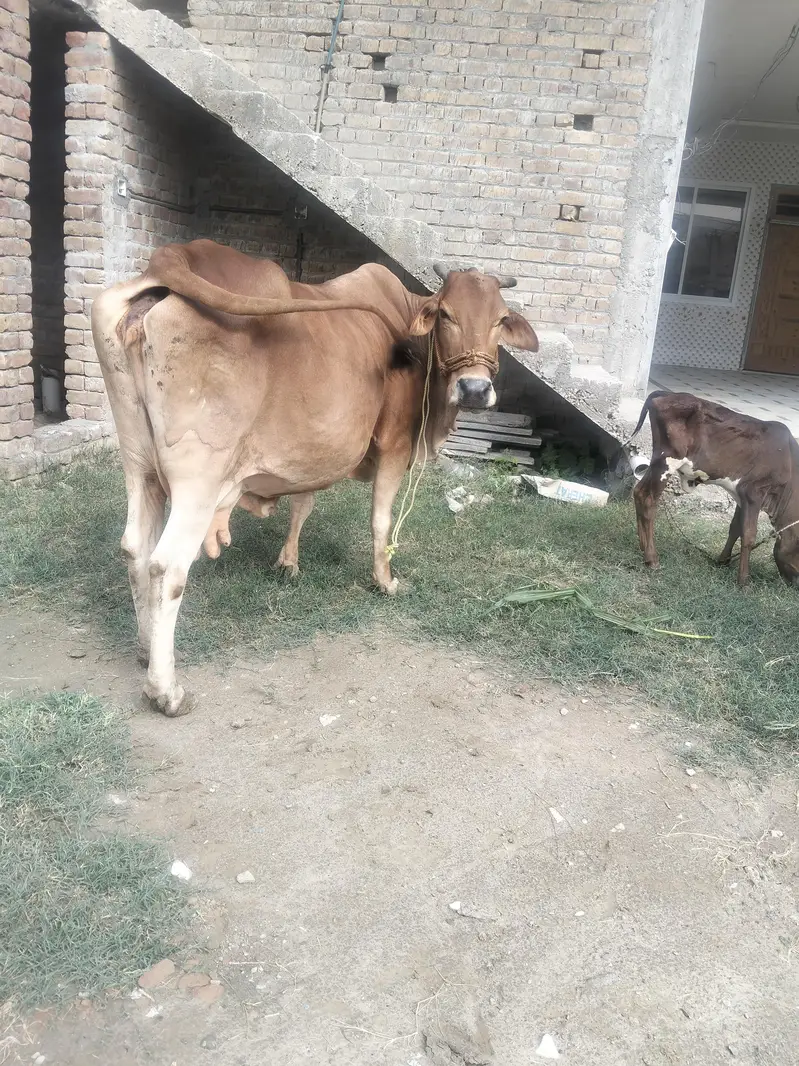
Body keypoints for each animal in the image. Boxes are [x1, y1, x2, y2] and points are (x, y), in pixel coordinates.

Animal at [91, 239, 539, 716]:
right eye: (447, 314)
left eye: (500, 319)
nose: (474, 389)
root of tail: (177, 256)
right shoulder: (395, 445)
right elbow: (381, 520)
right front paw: (385, 581)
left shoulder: (310, 456)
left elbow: (303, 504)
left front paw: (289, 563)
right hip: (198, 478)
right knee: (167, 566)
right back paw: (166, 690)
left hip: (139, 464)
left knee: (135, 548)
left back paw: (144, 649)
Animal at [630, 390, 799, 587]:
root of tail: (668, 393)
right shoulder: (753, 493)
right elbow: (749, 535)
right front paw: (744, 581)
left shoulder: (740, 496)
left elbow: (735, 528)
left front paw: (723, 561)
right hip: (666, 461)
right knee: (647, 498)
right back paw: (652, 558)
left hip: (656, 462)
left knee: (638, 492)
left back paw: (643, 547)